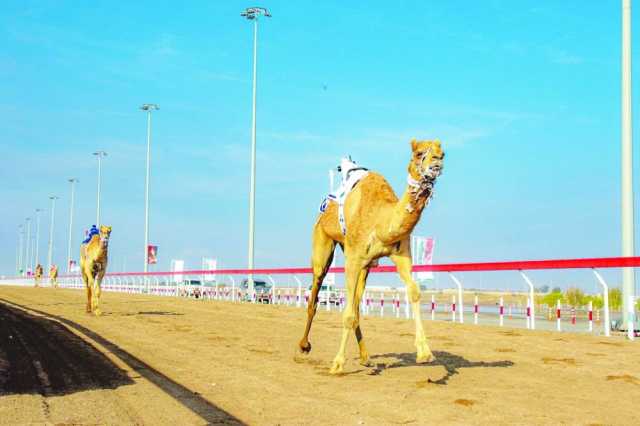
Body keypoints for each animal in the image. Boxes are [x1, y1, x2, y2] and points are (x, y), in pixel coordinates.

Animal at [298, 139, 442, 372]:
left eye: (443, 153)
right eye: (419, 153)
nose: (436, 163)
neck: (381, 219)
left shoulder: (401, 255)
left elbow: (414, 291)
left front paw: (424, 352)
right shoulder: (353, 259)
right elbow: (347, 313)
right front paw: (337, 364)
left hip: (364, 265)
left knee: (356, 305)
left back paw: (366, 357)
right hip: (323, 243)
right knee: (315, 294)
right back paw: (304, 345)